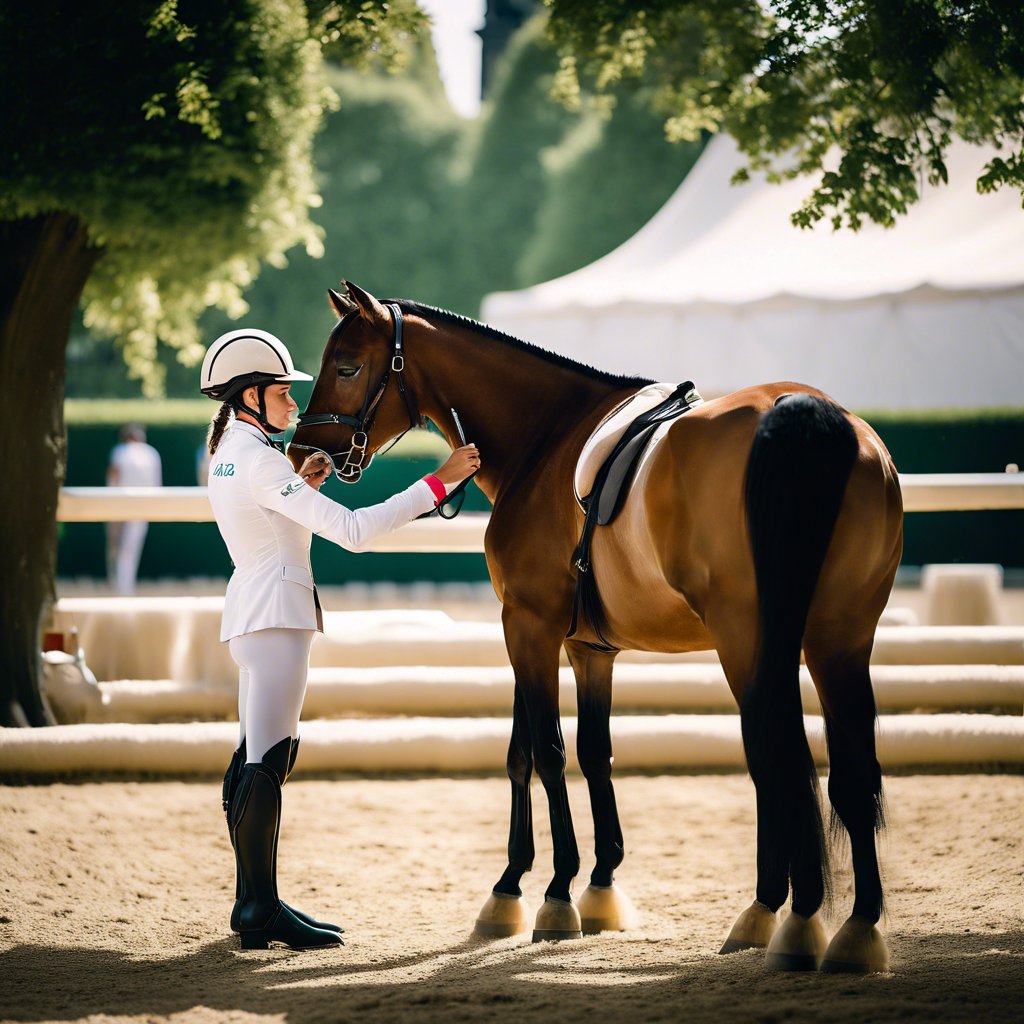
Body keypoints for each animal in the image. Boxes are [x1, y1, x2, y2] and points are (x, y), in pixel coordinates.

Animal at [294, 282, 905, 974]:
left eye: (347, 367)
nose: (301, 452)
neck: (545, 440)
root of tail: (806, 410)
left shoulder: (527, 626)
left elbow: (546, 752)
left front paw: (553, 894)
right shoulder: (584, 647)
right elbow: (577, 751)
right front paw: (585, 887)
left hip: (750, 641)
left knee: (777, 756)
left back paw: (783, 918)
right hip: (839, 639)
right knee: (852, 771)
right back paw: (853, 930)